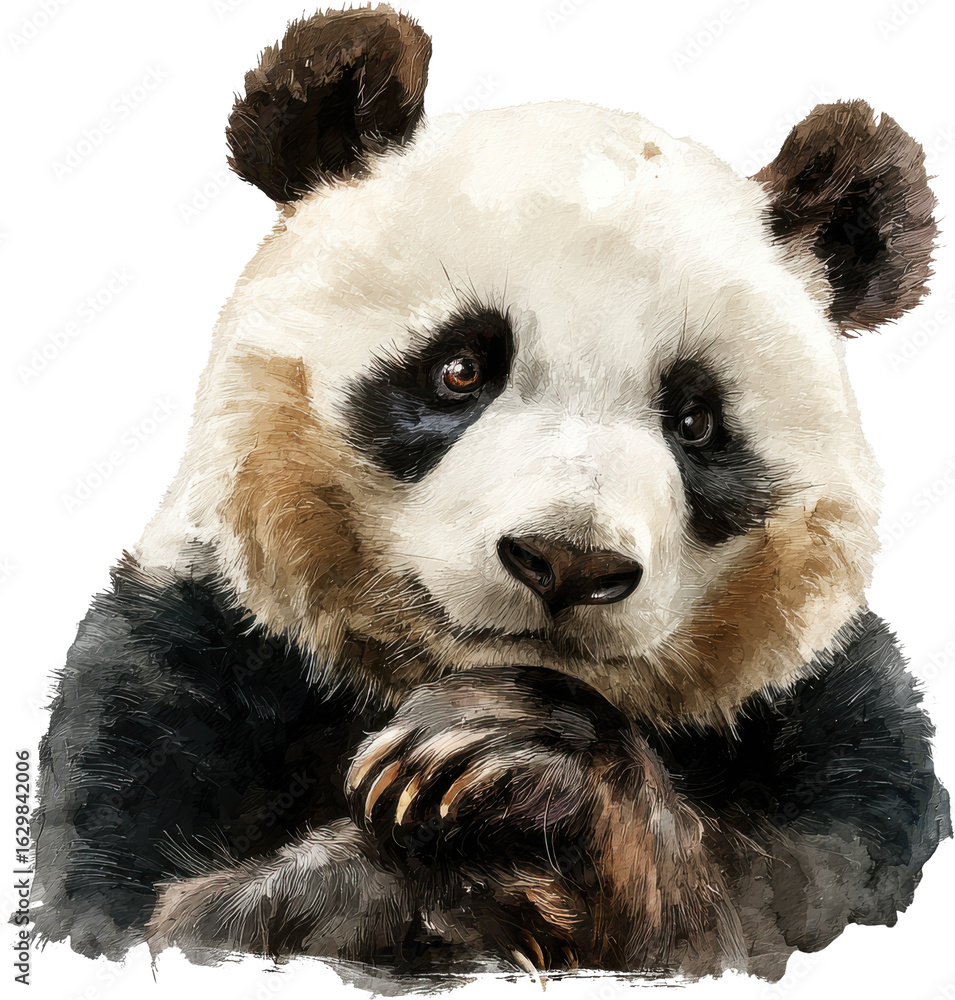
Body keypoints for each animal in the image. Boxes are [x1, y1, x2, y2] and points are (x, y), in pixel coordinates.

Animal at [31, 2, 951, 982]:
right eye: (460, 368)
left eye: (695, 420)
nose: (568, 562)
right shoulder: (176, 688)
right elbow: (154, 912)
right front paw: (373, 882)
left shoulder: (838, 738)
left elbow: (767, 908)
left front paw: (510, 758)